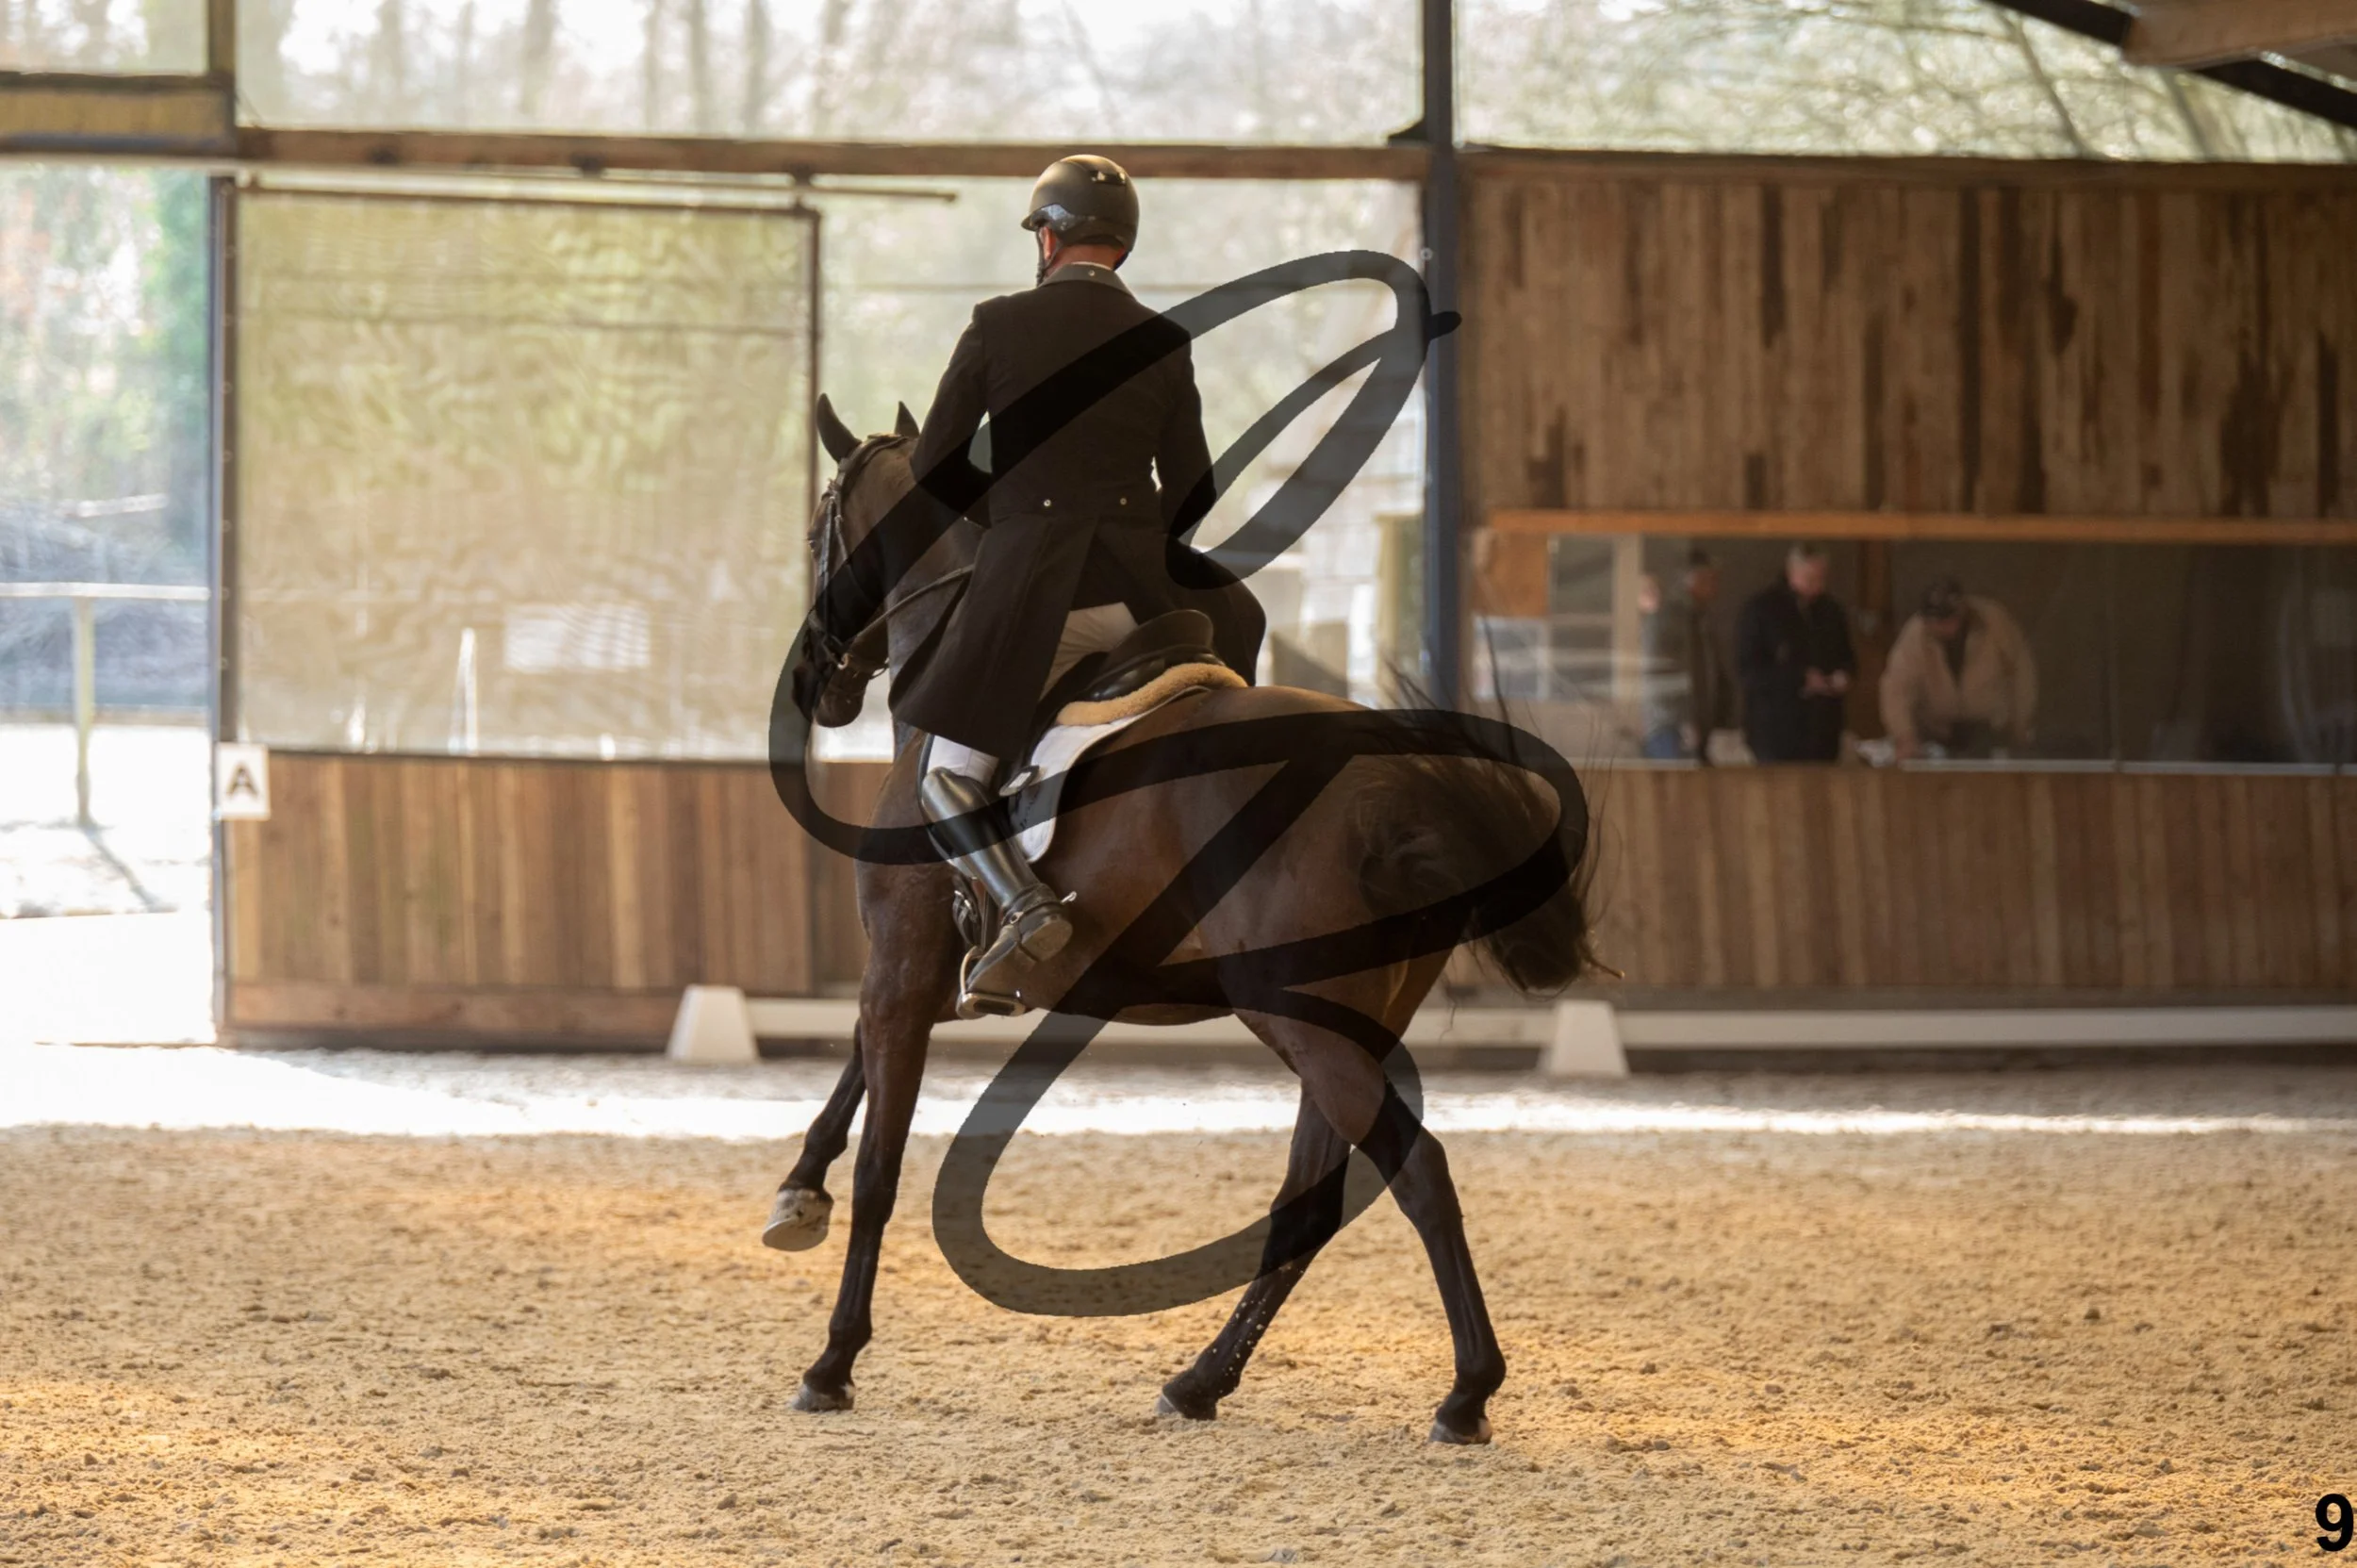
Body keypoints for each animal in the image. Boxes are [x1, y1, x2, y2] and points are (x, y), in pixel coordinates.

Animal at [762, 402, 1600, 1445]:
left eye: (817, 531)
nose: (816, 682)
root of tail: (1383, 778)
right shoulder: (937, 973)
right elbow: (851, 1070)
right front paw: (798, 1191)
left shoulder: (904, 965)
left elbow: (882, 1163)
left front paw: (832, 1359)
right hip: (1342, 1025)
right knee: (1309, 1201)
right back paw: (1201, 1380)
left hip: (1300, 1020)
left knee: (1417, 1172)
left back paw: (1465, 1392)